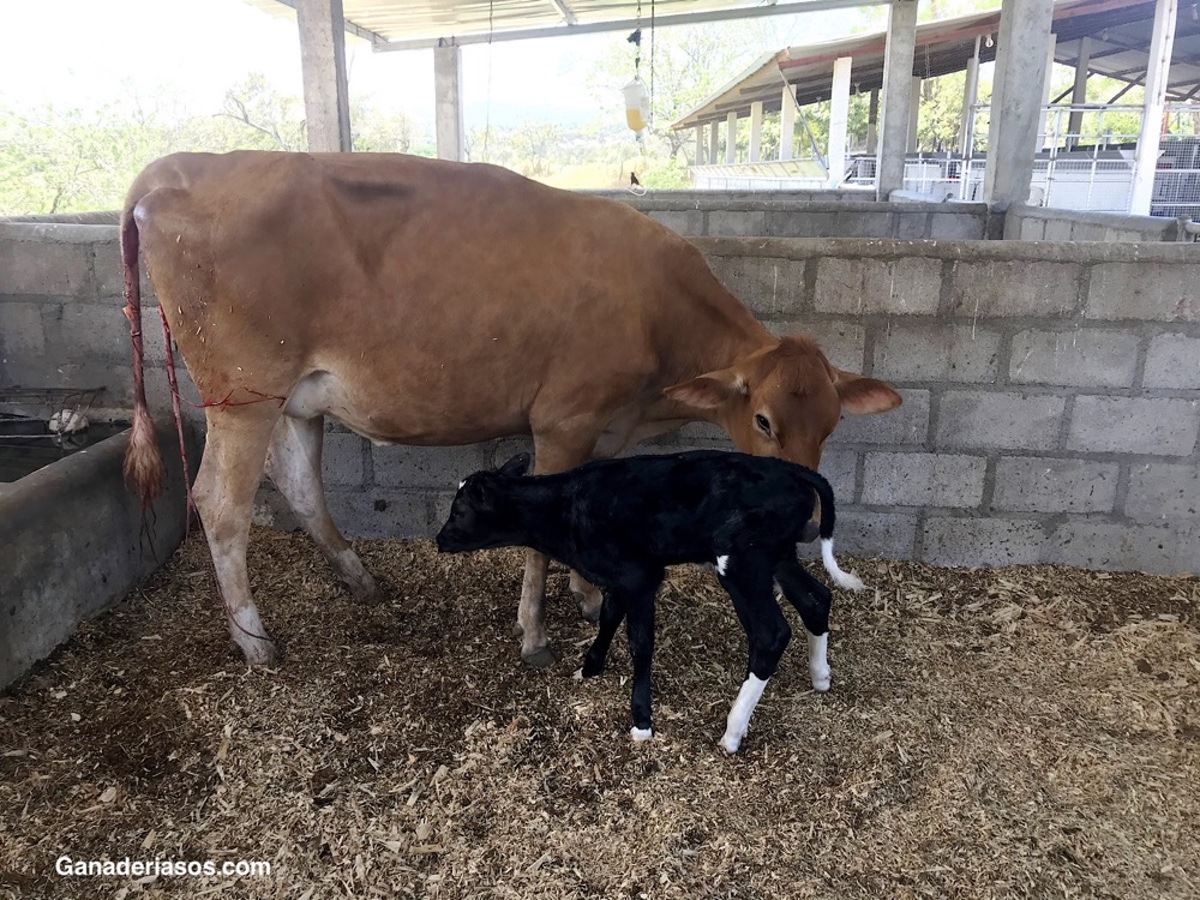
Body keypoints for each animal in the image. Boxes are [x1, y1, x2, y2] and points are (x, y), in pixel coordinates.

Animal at [121, 151, 902, 667]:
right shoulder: (563, 418)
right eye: (764, 419)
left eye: (832, 423)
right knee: (220, 502)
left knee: (300, 484)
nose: (805, 514)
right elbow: (539, 537)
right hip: (242, 392)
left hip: (295, 398)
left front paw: (587, 596)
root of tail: (181, 165)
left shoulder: (604, 427)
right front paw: (534, 634)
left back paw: (360, 581)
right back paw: (255, 641)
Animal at [436, 451, 868, 753]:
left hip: (744, 564)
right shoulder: (617, 578)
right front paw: (588, 668)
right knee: (816, 599)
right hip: (778, 556)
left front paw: (641, 720)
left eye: (459, 510)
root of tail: (792, 469)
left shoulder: (641, 577)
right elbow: (609, 617)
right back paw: (820, 677)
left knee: (770, 634)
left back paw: (732, 732)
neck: (566, 508)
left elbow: (640, 644)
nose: (439, 539)